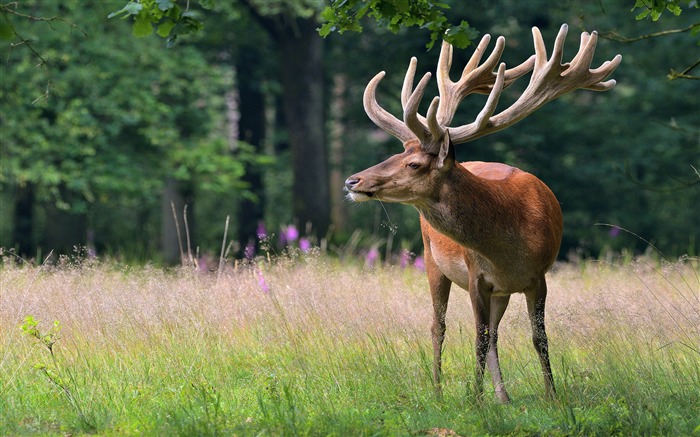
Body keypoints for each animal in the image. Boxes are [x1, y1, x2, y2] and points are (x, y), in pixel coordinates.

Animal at [344, 22, 624, 400]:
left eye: (413, 163)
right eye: (396, 153)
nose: (352, 180)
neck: (508, 246)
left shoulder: (538, 277)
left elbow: (538, 338)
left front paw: (551, 396)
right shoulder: (477, 275)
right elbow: (477, 339)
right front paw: (474, 400)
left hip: (498, 291)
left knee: (491, 334)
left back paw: (502, 397)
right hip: (432, 259)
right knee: (439, 325)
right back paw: (439, 392)